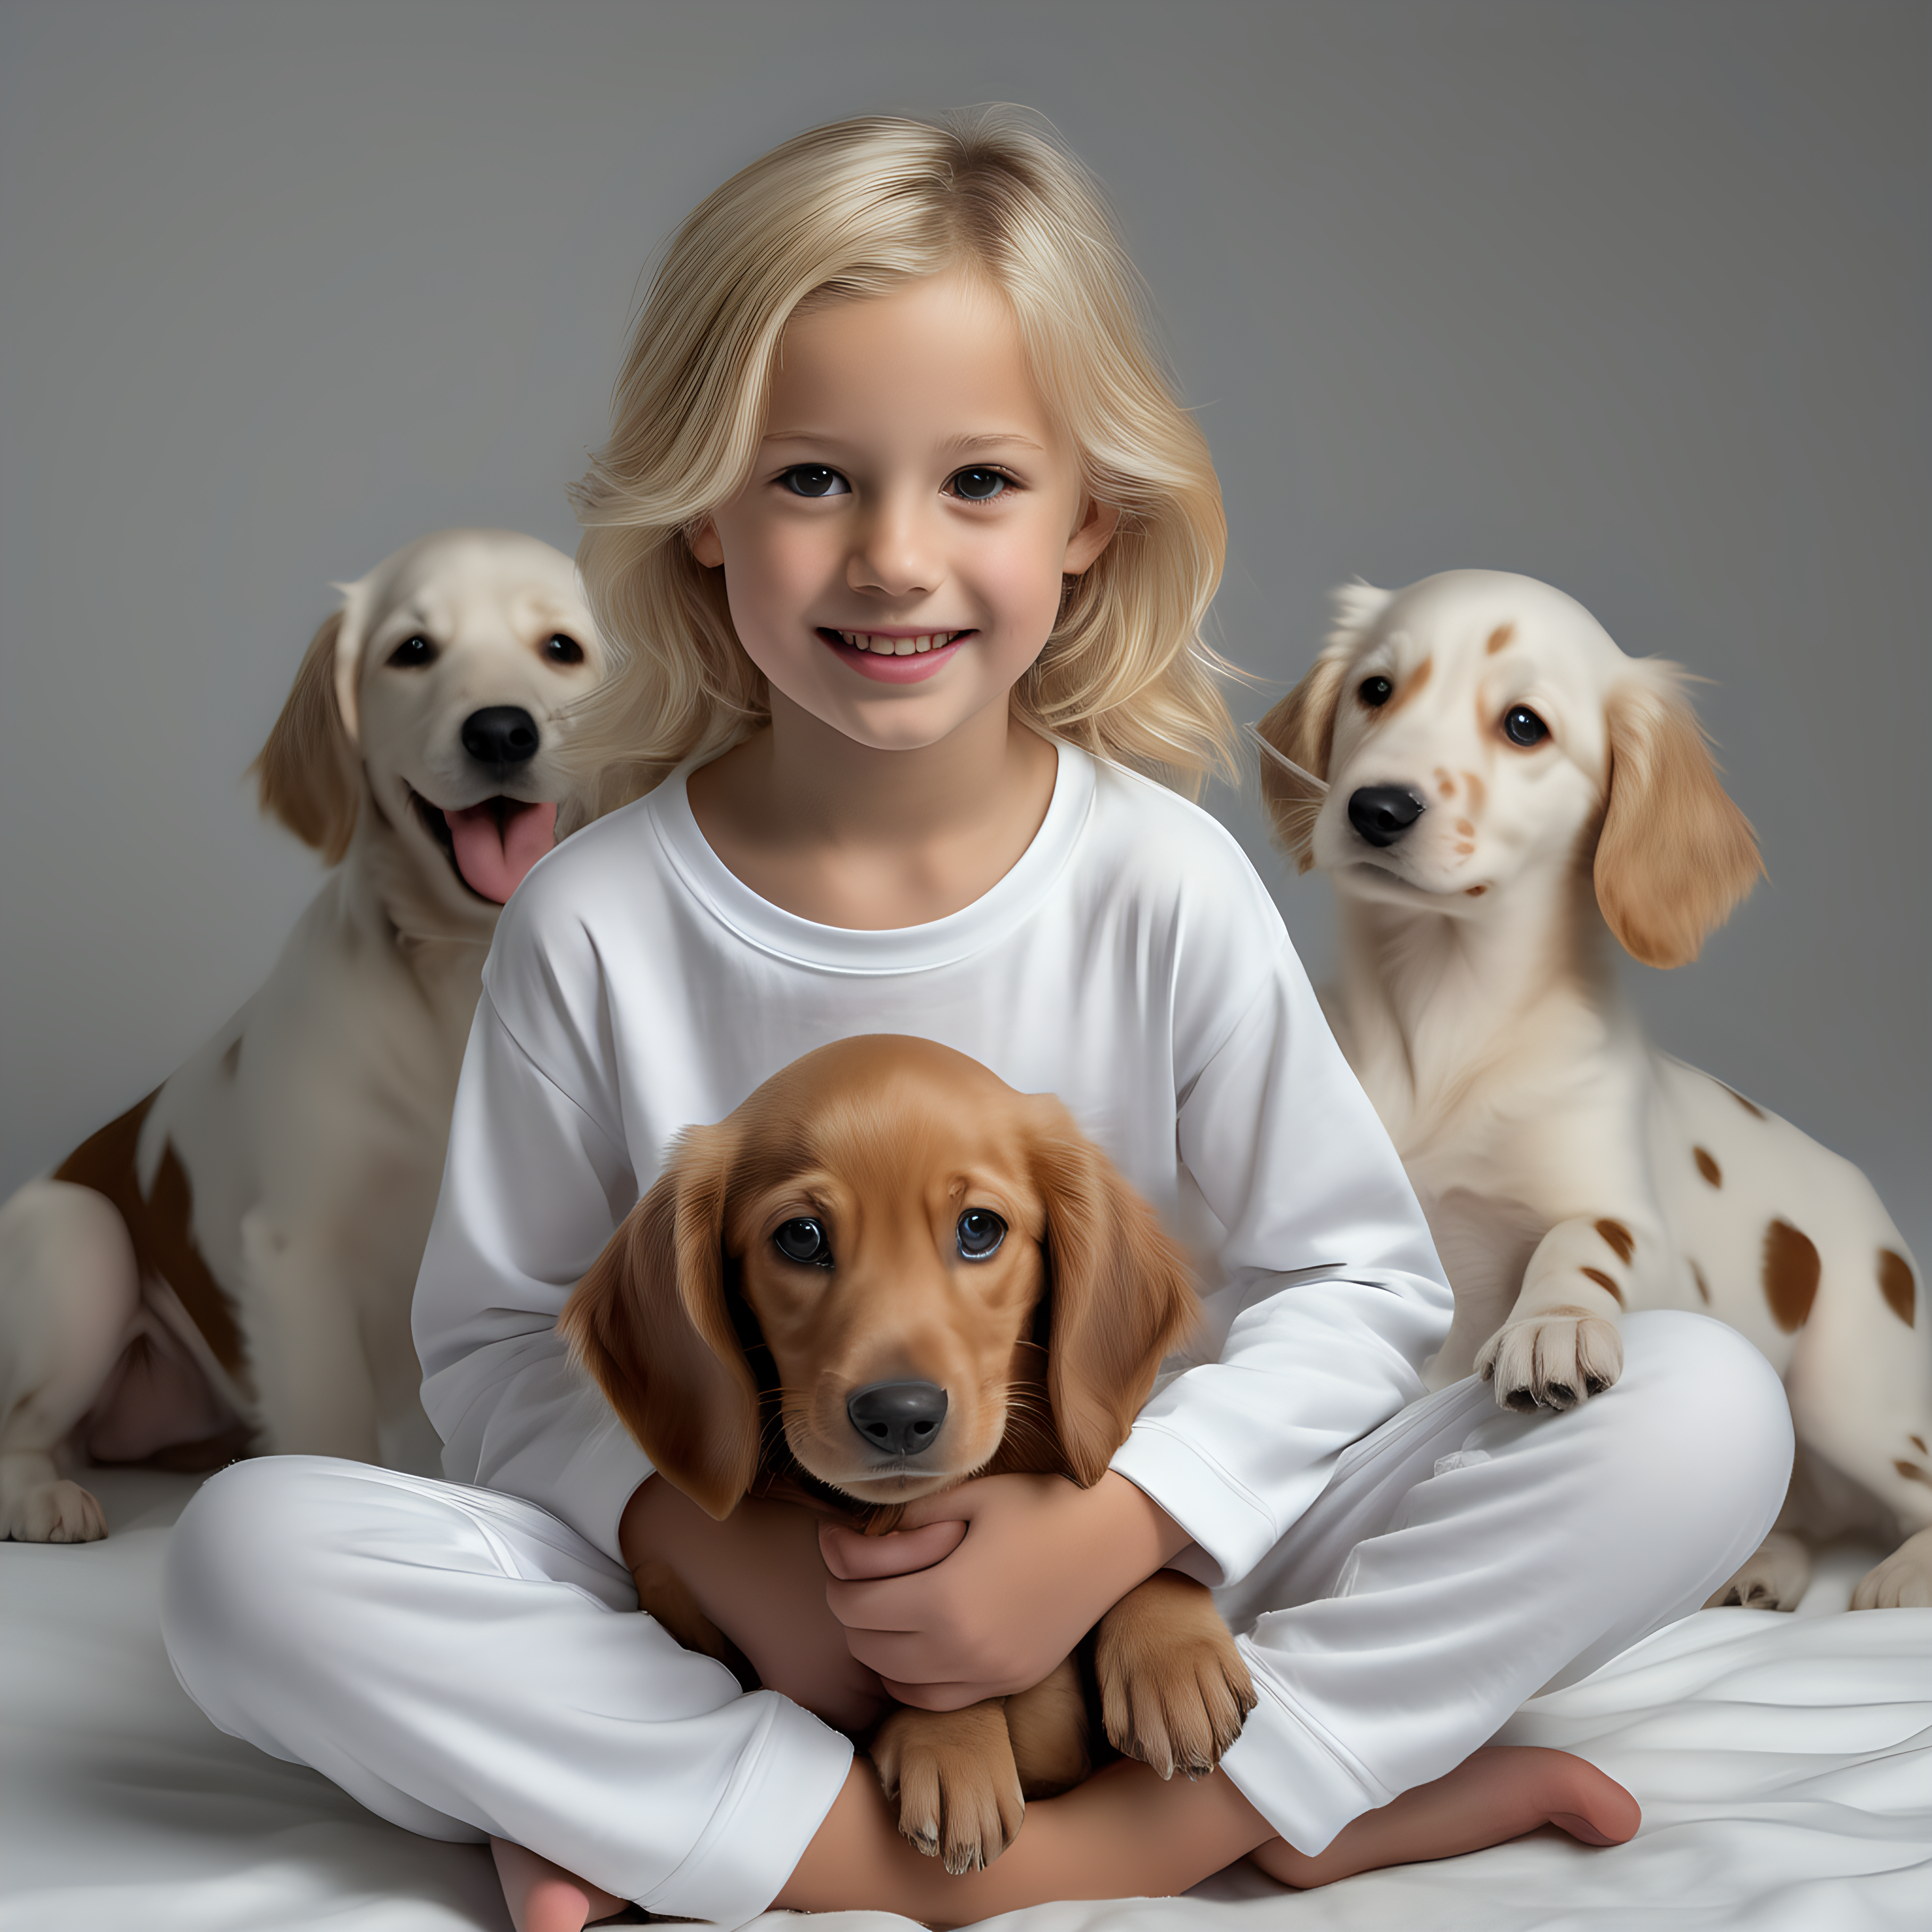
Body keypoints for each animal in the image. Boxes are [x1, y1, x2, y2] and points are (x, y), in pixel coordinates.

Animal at [0, 525, 607, 1538]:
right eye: (413, 650)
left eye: (562, 647)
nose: (500, 731)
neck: (463, 973)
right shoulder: (296, 1252)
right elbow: (331, 1428)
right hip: (81, 1233)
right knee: (21, 1426)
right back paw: (43, 1495)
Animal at [560, 1043, 1252, 1870]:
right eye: (801, 1237)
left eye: (979, 1228)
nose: (899, 1415)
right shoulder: (676, 1594)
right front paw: (953, 1739)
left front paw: (1171, 1651)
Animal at [1259, 564, 1924, 1607]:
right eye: (1375, 690)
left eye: (1524, 725)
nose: (1376, 808)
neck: (1443, 1014)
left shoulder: (1626, 1217)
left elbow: (1578, 1242)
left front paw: (1554, 1328)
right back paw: (1761, 1566)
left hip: (1852, 1393)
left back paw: (1897, 1574)